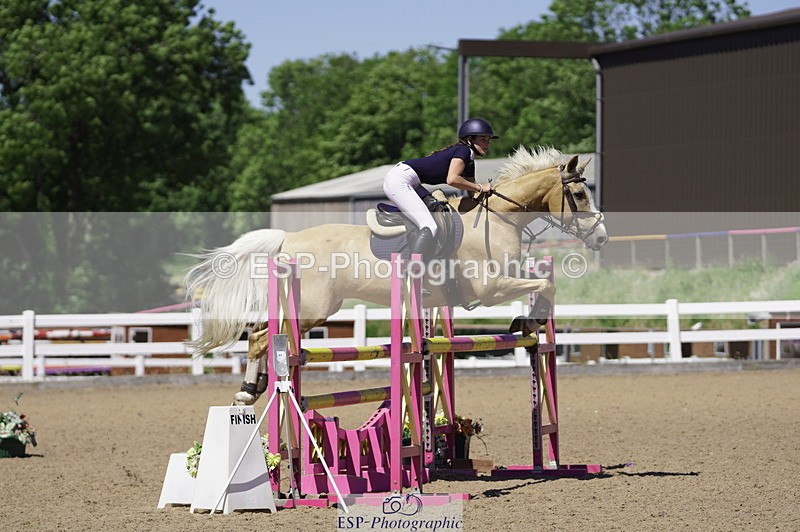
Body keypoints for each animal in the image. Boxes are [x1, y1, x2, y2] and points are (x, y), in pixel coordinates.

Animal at [185, 146, 608, 404]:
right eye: (580, 196)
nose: (602, 237)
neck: (499, 220)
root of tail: (288, 237)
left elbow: (544, 283)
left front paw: (529, 320)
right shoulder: (492, 290)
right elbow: (546, 284)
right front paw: (528, 320)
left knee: (261, 334)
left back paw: (254, 387)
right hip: (313, 308)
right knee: (260, 337)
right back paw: (247, 391)